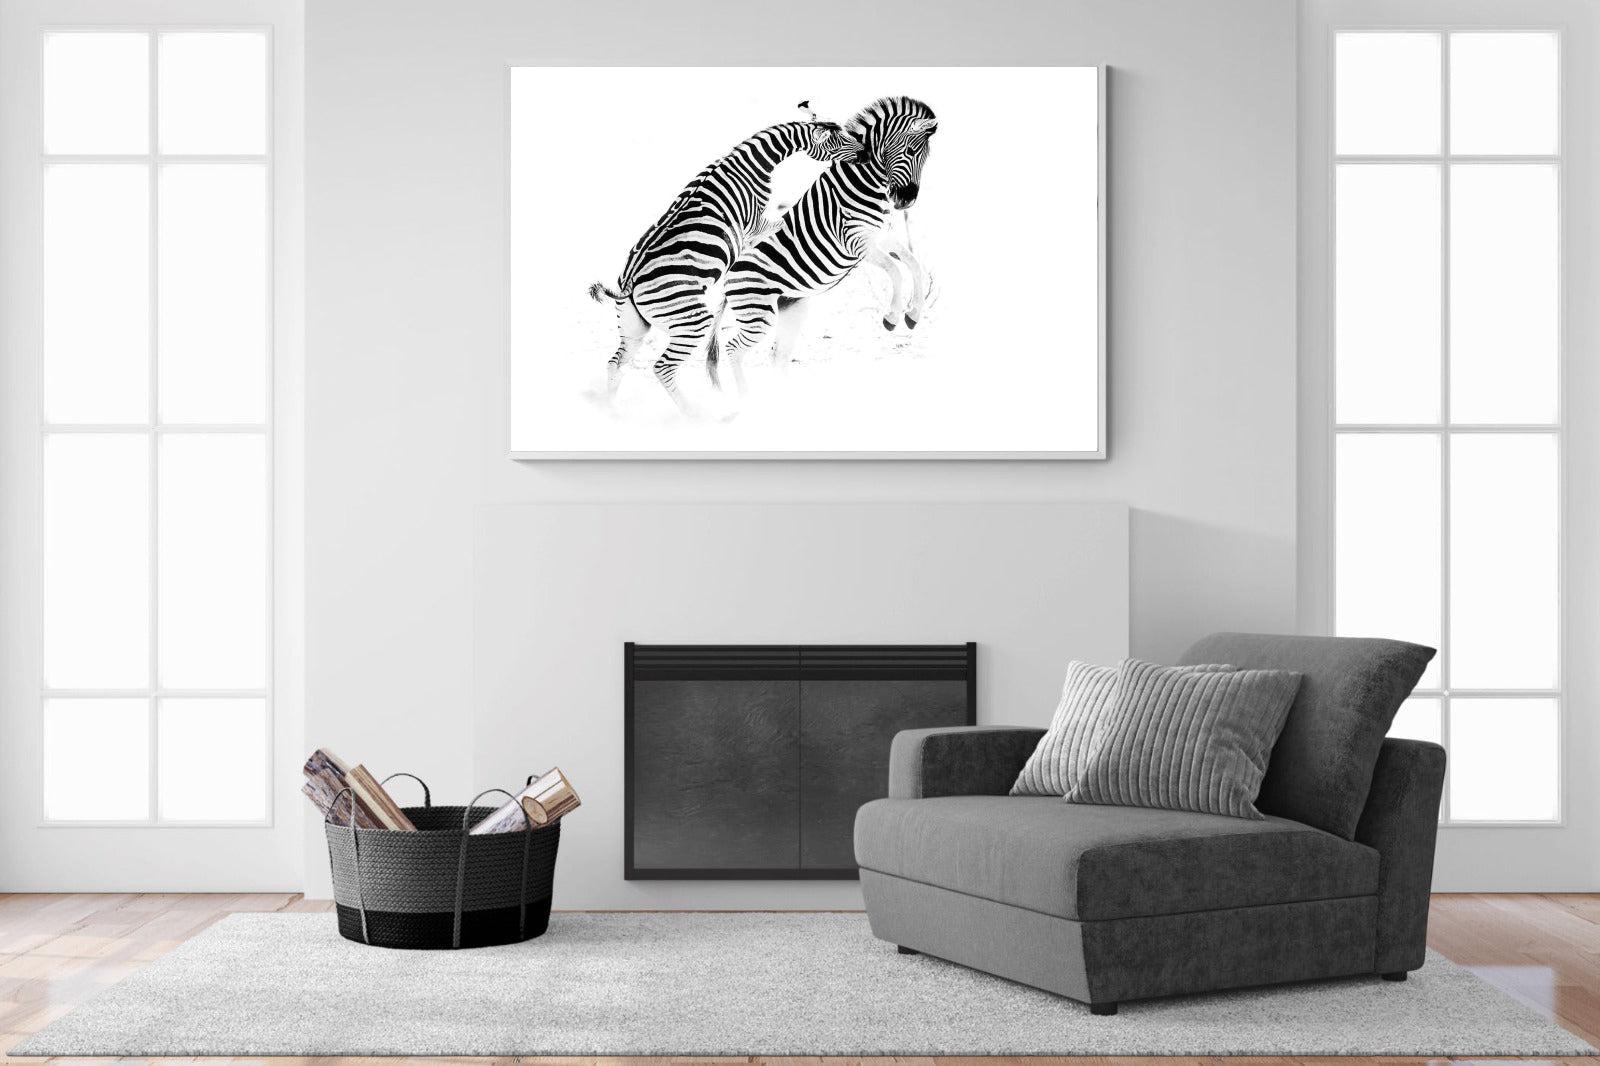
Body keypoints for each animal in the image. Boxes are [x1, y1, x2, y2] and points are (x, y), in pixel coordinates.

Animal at [588, 113, 863, 413]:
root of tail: (629, 282)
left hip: (634, 327)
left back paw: (611, 410)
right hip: (692, 321)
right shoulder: (753, 226)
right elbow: (781, 223)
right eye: (840, 140)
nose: (864, 152)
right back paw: (693, 413)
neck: (752, 165)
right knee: (662, 368)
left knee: (616, 363)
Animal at [706, 96, 938, 393]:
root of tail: (727, 277)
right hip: (758, 310)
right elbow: (896, 270)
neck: (862, 182)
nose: (906, 201)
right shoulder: (856, 241)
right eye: (910, 150)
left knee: (777, 355)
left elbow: (914, 264)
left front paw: (913, 314)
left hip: (792, 308)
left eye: (926, 157)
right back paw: (746, 396)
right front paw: (892, 317)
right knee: (734, 349)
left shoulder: (880, 236)